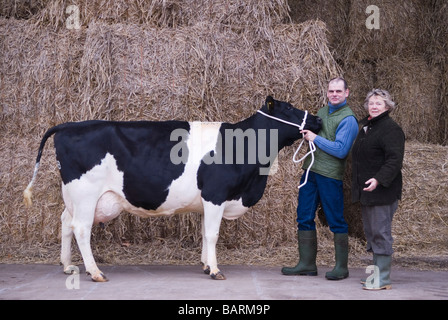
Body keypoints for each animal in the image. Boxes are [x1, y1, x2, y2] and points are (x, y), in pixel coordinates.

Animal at [23, 96, 322, 282]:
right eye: (289, 108)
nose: (318, 120)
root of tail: (69, 125)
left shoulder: (206, 201)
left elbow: (203, 234)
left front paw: (205, 264)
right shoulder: (216, 195)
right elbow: (212, 234)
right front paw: (215, 270)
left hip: (72, 196)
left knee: (65, 222)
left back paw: (67, 266)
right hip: (86, 194)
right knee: (81, 229)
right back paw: (95, 272)